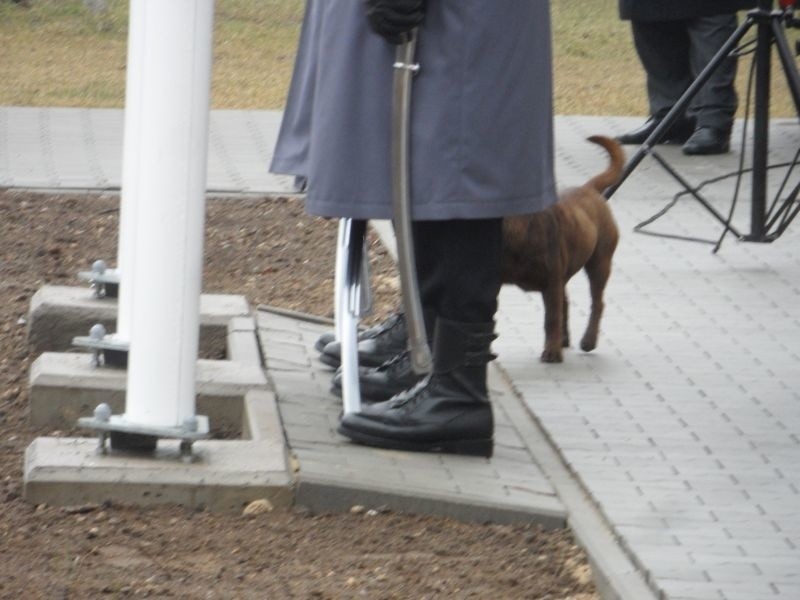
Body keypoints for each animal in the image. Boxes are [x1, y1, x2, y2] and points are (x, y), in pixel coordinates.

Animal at [500, 135, 624, 360]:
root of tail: (589, 188)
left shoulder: (551, 282)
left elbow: (551, 318)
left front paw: (551, 352)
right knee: (566, 303)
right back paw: (564, 340)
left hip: (599, 264)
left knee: (596, 302)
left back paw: (588, 340)